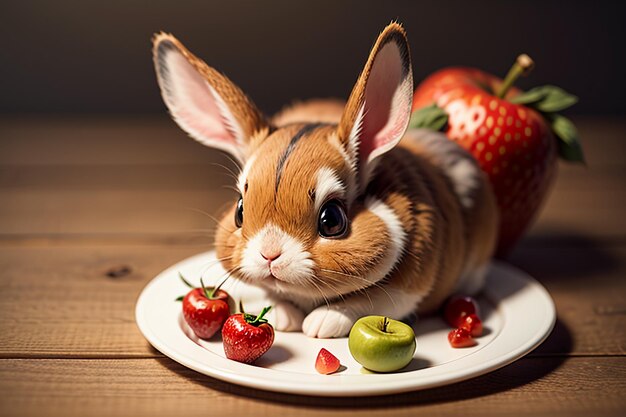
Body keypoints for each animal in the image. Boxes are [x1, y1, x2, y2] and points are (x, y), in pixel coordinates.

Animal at [152, 21, 498, 336]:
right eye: (239, 211)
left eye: (332, 220)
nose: (269, 254)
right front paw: (283, 316)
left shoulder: (410, 286)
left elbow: (369, 302)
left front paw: (321, 323)